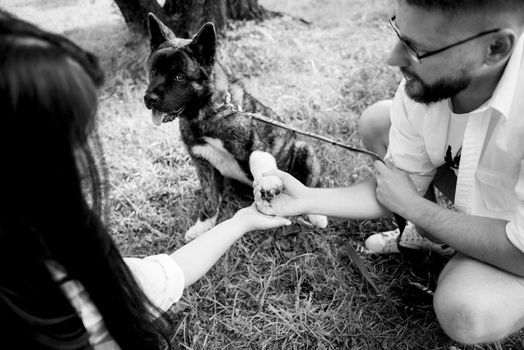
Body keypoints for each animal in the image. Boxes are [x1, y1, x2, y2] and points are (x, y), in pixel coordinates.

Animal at [143, 14, 328, 243]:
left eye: (179, 77)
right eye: (153, 71)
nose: (149, 99)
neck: (209, 114)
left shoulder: (255, 145)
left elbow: (258, 159)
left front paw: (268, 183)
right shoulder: (203, 164)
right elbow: (210, 196)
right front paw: (204, 225)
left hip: (304, 149)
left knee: (311, 184)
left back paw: (317, 215)